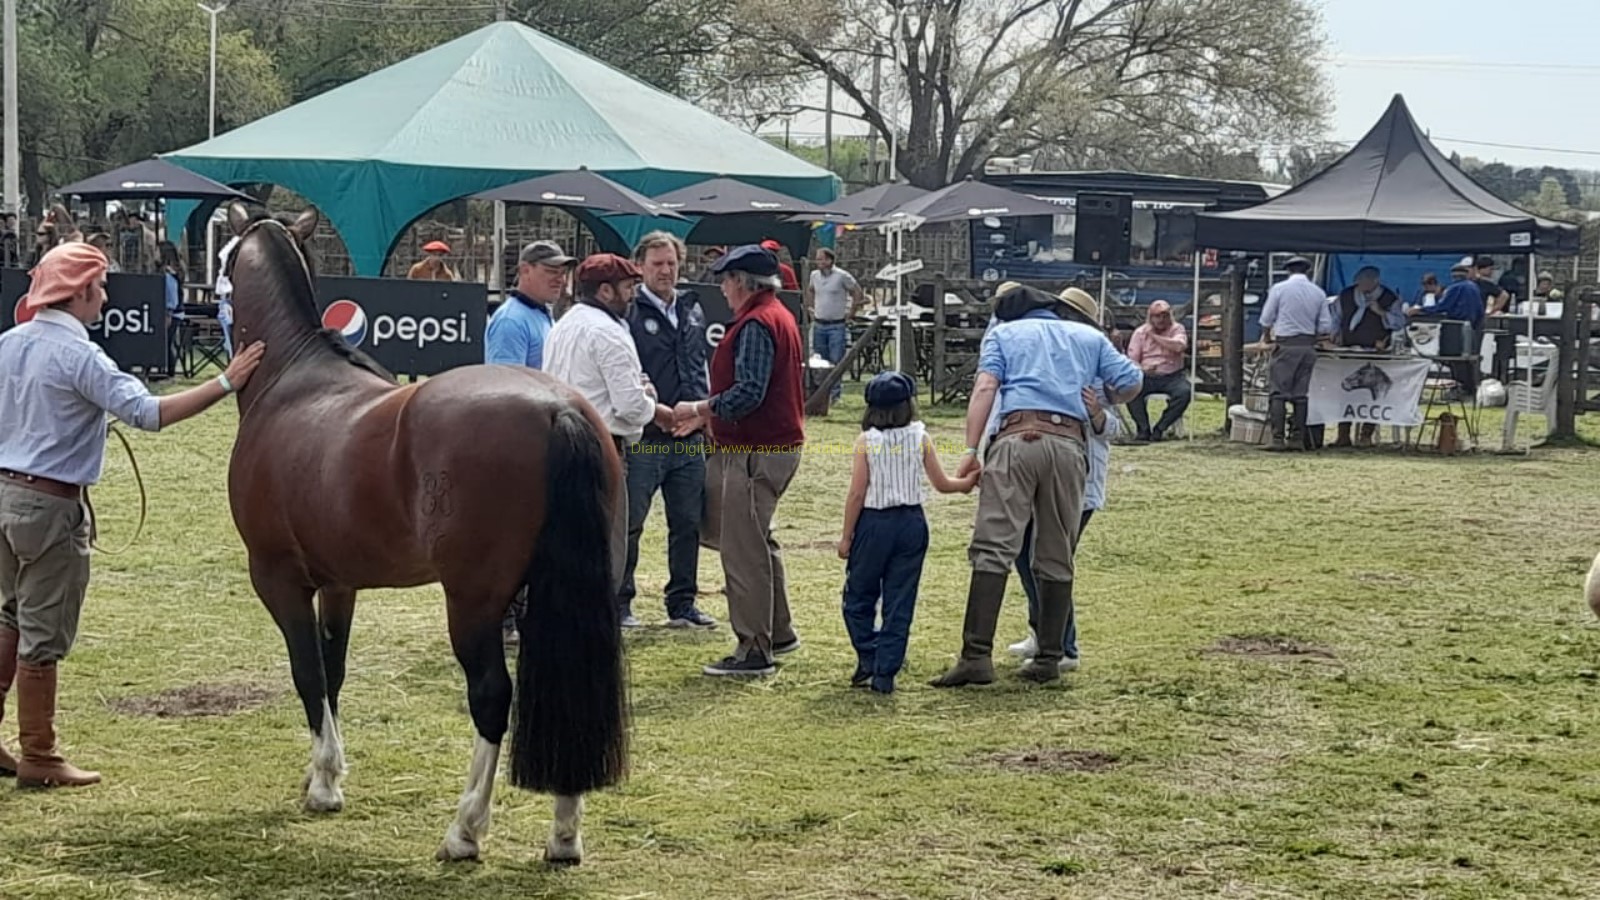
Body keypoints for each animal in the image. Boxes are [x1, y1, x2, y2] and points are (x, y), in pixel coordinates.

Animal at [221, 202, 628, 864]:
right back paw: (564, 836)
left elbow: (307, 673)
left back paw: (465, 831)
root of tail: (557, 408)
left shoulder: (278, 577)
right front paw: (324, 772)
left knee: (491, 696)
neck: (291, 379)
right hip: (565, 593)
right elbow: (333, 671)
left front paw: (324, 786)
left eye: (226, 257)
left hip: (474, 603)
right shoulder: (339, 583)